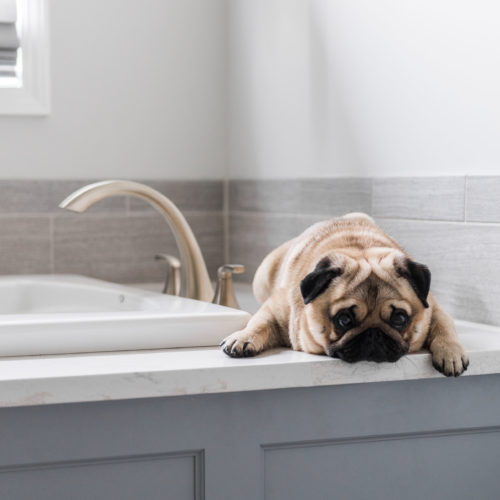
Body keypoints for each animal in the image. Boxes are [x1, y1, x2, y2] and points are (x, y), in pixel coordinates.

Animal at [222, 213, 468, 376]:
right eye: (344, 320)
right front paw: (243, 337)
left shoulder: (433, 307)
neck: (359, 248)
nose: (374, 333)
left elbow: (444, 326)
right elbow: (259, 322)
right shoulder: (276, 308)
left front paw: (451, 352)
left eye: (399, 318)